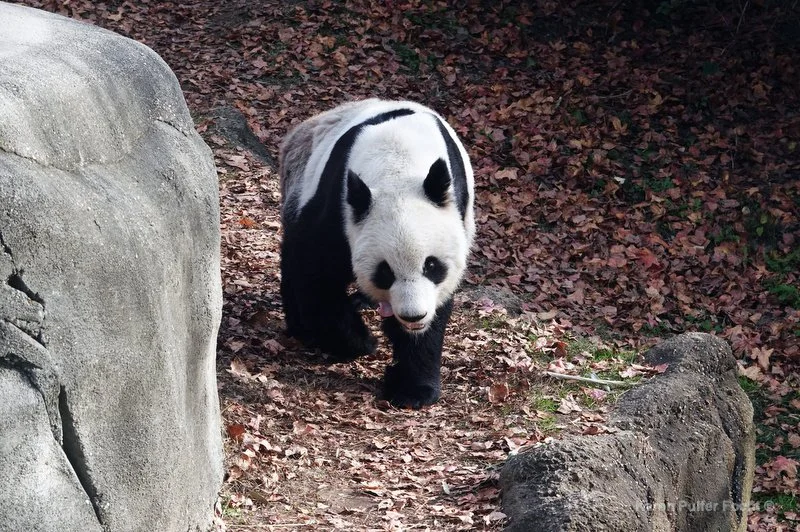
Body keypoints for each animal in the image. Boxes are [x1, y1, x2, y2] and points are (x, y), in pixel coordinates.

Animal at [278, 98, 475, 409]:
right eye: (385, 271)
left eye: (431, 266)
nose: (413, 316)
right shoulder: (339, 207)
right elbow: (316, 274)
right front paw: (361, 342)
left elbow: (438, 306)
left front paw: (413, 389)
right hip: (298, 178)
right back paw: (303, 328)